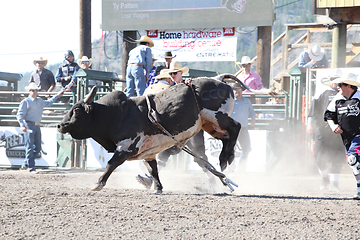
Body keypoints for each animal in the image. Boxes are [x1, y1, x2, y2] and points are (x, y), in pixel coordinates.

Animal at [57, 76, 242, 192]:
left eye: (76, 110)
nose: (59, 125)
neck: (117, 114)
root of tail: (220, 81)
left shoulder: (126, 147)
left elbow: (111, 163)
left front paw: (98, 184)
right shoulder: (148, 152)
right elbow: (153, 169)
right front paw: (158, 187)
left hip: (216, 117)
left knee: (236, 127)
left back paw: (225, 158)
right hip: (210, 125)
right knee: (222, 141)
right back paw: (225, 161)